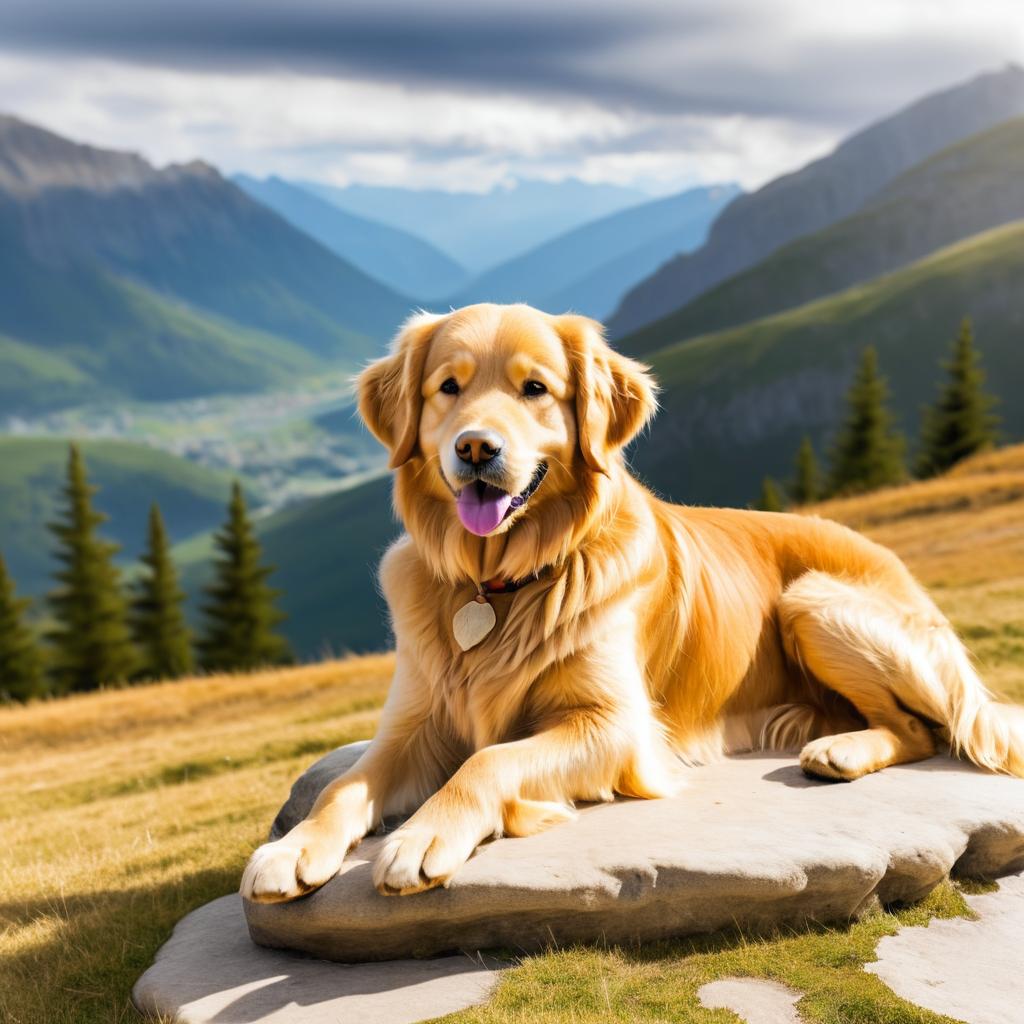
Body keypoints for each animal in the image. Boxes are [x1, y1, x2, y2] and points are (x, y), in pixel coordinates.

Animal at [237, 299, 1024, 901]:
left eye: (535, 389)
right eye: (448, 387)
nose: (475, 449)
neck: (501, 583)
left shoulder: (615, 727)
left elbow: (488, 762)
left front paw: (425, 832)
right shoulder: (414, 724)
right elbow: (345, 786)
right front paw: (293, 848)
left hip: (811, 601)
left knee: (925, 729)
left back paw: (844, 749)